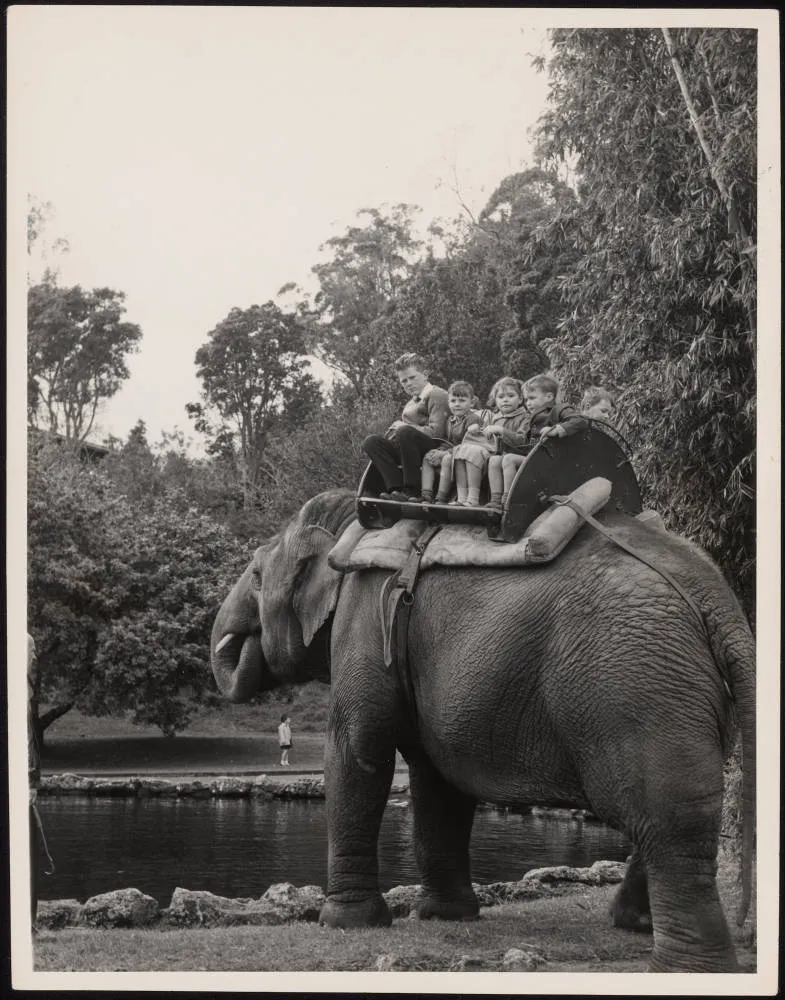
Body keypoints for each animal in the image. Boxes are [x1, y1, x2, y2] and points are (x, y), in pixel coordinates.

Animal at [210, 489, 755, 973]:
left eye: (256, 576)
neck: (353, 524)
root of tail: (719, 602)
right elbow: (436, 780)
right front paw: (442, 916)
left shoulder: (363, 615)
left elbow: (357, 750)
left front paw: (344, 924)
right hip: (681, 694)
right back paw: (632, 923)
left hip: (634, 684)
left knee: (667, 820)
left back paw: (683, 968)